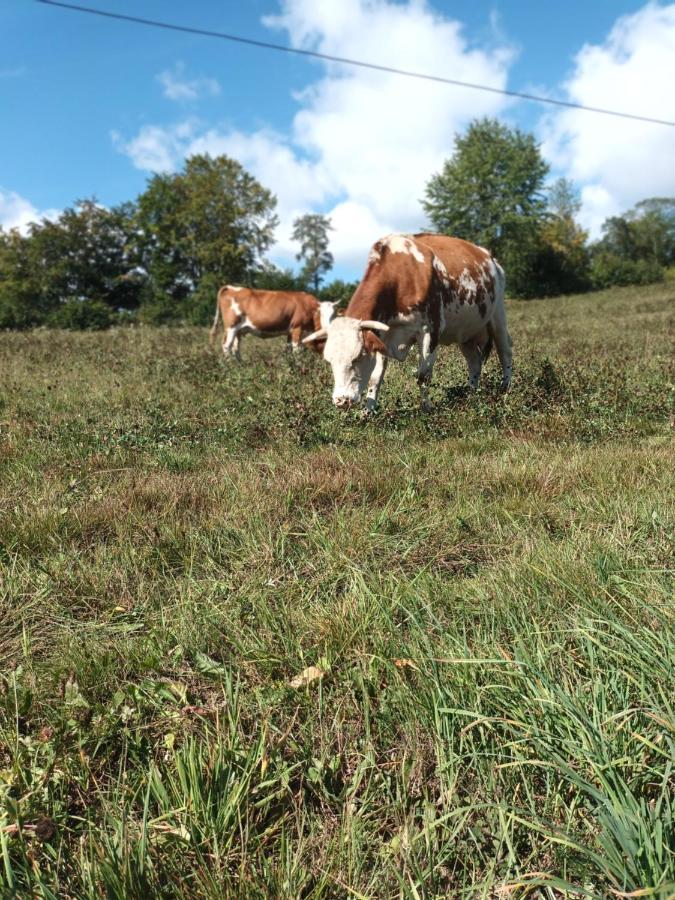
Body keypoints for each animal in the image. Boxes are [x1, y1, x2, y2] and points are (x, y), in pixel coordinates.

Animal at [210, 286, 338, 360]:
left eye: (334, 315)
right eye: (320, 314)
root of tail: (231, 287)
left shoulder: (290, 331)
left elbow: (288, 348)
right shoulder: (297, 328)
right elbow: (296, 348)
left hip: (238, 330)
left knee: (235, 347)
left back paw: (240, 364)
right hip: (231, 326)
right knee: (226, 345)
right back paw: (230, 365)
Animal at [302, 234, 512, 414]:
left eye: (359, 356)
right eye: (329, 360)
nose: (341, 400)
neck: (399, 277)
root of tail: (488, 256)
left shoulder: (430, 330)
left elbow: (423, 375)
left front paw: (426, 409)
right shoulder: (382, 335)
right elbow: (375, 378)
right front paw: (368, 411)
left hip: (498, 315)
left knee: (505, 351)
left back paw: (505, 389)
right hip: (466, 332)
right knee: (474, 362)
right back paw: (470, 394)